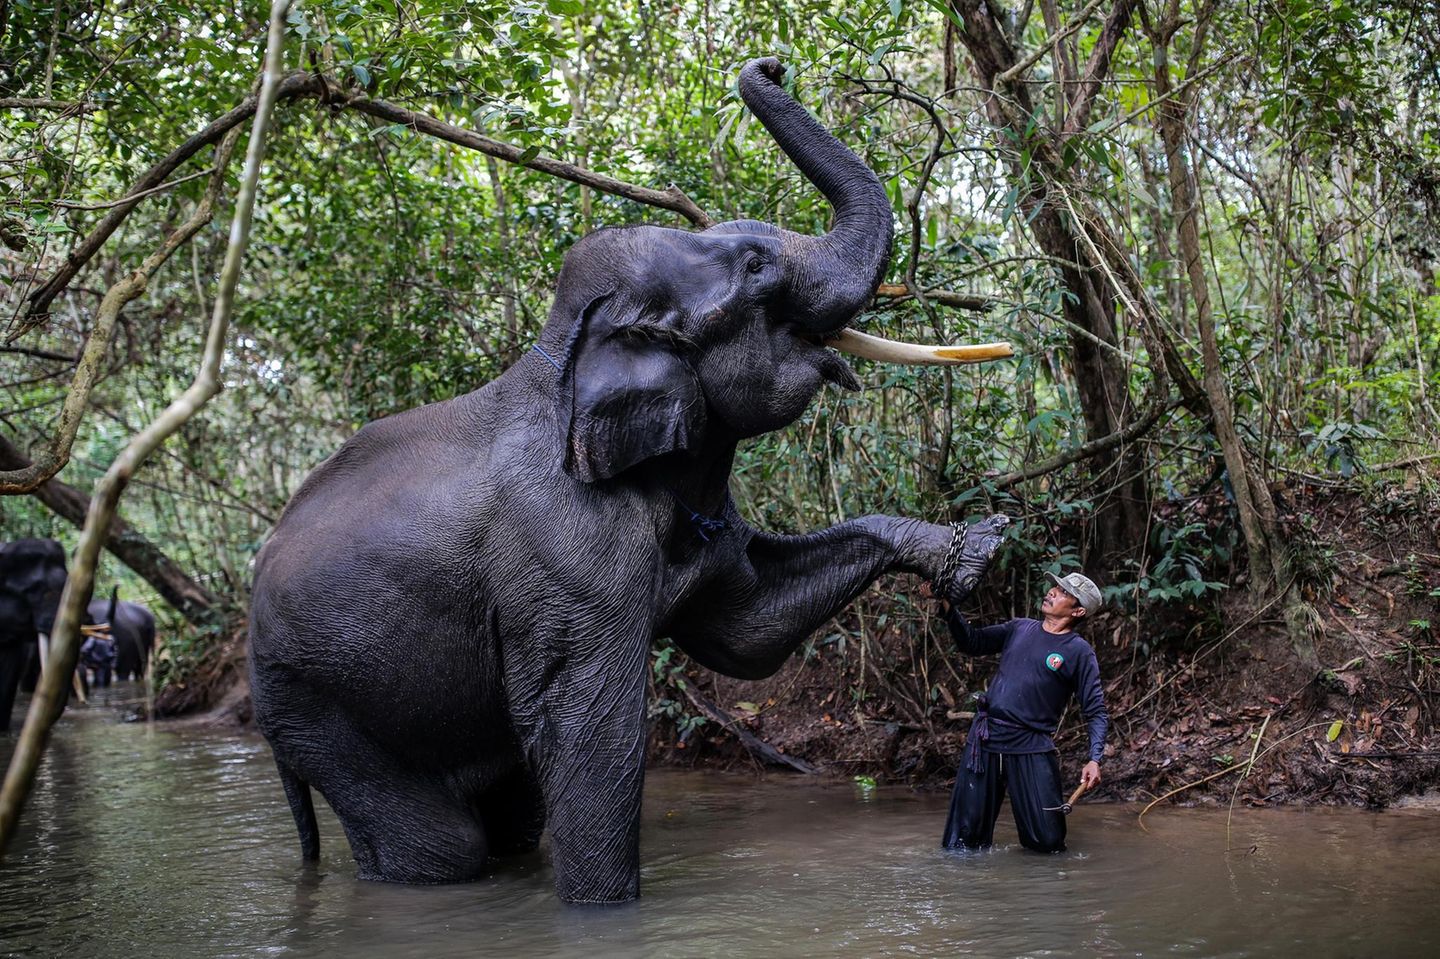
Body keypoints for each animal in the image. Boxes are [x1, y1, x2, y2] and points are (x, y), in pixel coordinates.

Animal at [249, 57, 1009, 904]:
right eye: (755, 268)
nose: (771, 65)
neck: (568, 352)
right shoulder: (563, 552)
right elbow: (590, 730)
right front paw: (604, 911)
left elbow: (748, 627)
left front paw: (978, 548)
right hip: (315, 696)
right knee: (442, 847)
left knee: (507, 817)